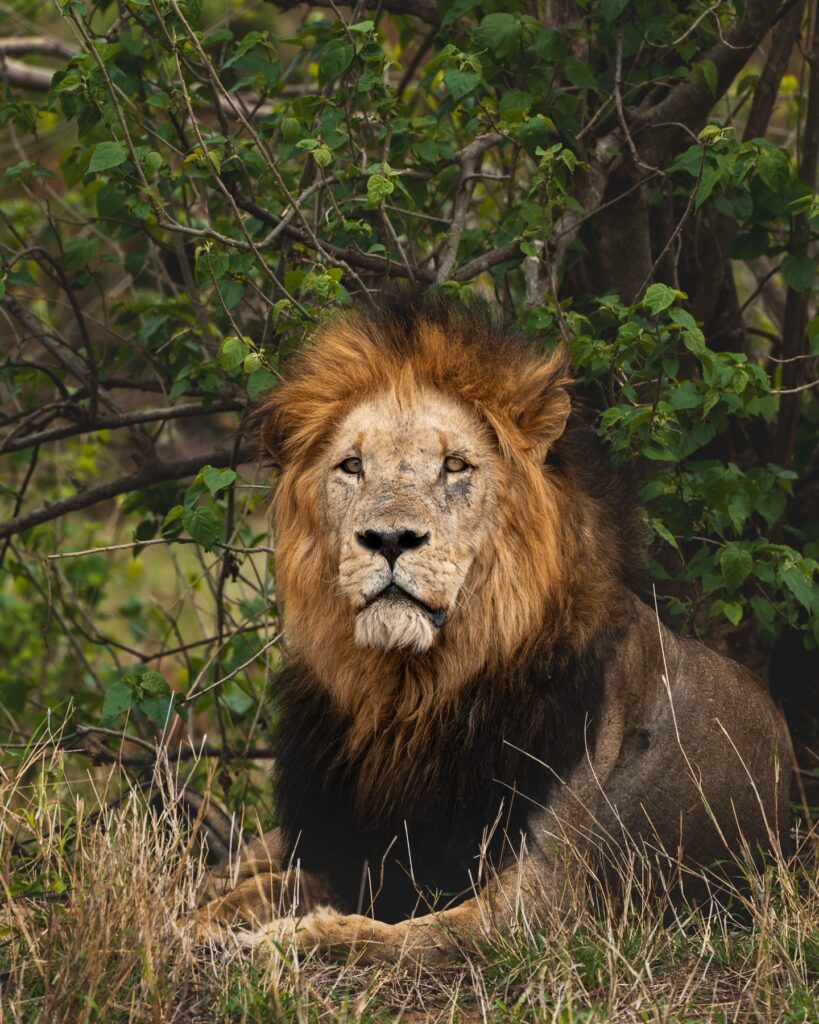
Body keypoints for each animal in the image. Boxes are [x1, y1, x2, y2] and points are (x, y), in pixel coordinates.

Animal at [196, 291, 790, 964]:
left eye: (456, 465)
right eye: (351, 466)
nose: (389, 539)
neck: (409, 697)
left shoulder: (544, 907)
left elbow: (394, 936)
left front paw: (289, 936)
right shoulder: (354, 855)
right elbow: (253, 893)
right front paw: (199, 922)